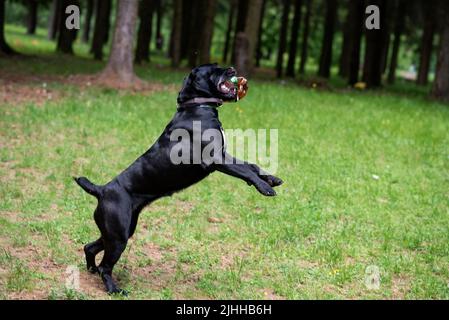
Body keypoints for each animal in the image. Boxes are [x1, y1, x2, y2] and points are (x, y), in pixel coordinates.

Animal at [75, 63, 282, 294]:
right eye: (215, 68)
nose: (231, 68)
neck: (197, 106)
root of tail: (101, 190)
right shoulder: (217, 159)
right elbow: (246, 170)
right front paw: (265, 188)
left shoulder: (225, 155)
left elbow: (251, 165)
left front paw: (271, 179)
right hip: (118, 236)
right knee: (106, 266)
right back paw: (114, 289)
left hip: (119, 232)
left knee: (90, 247)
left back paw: (91, 269)